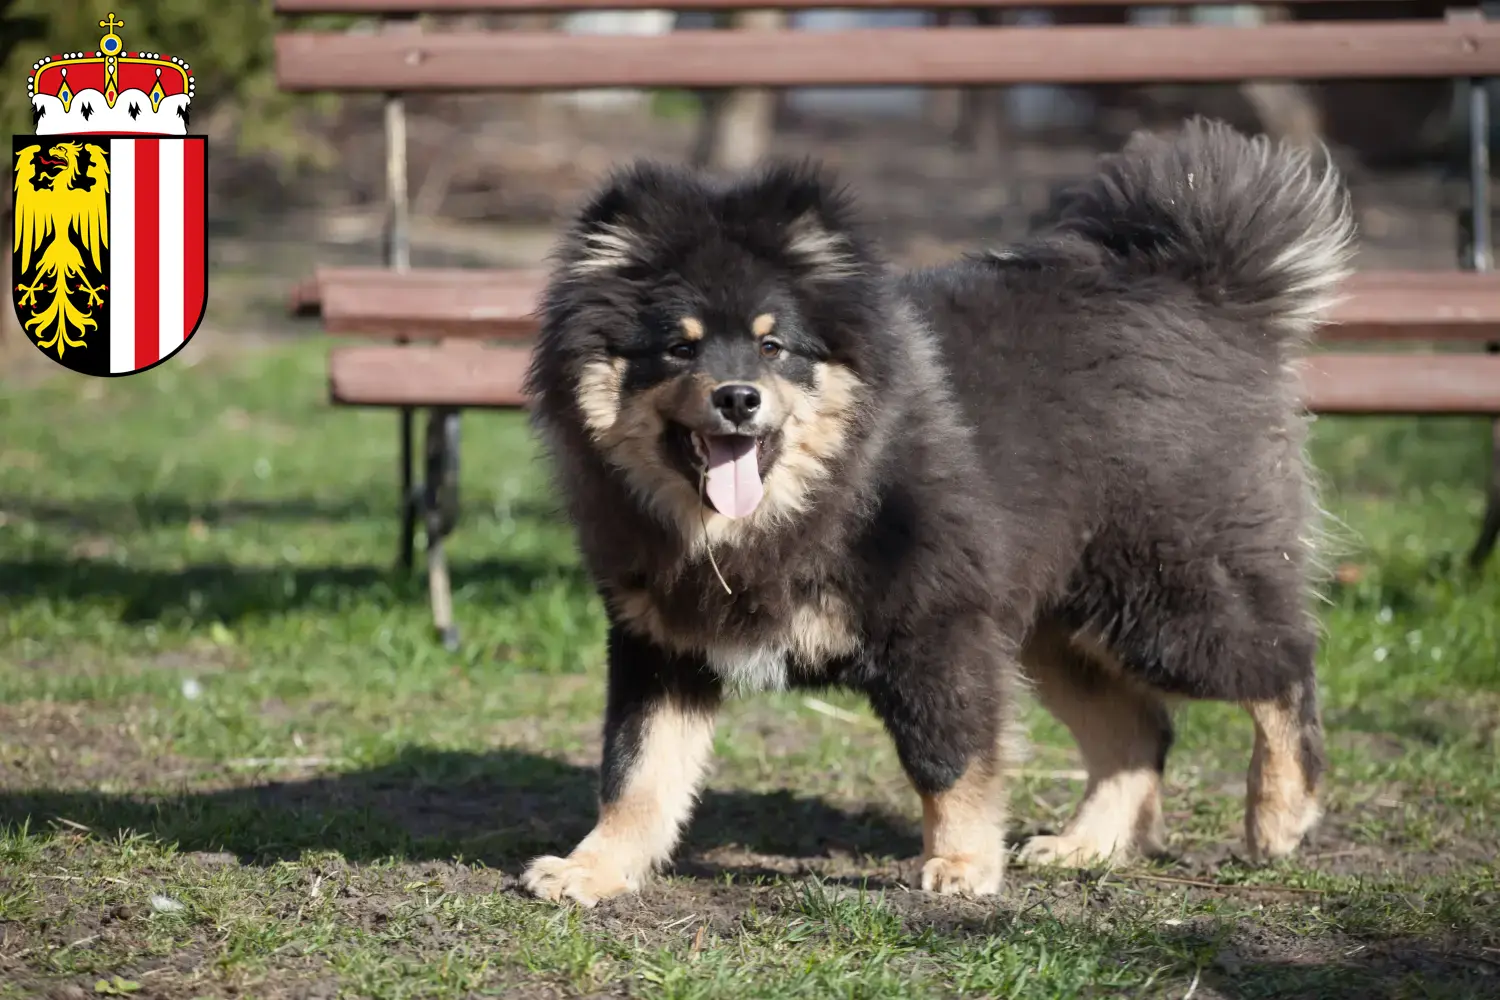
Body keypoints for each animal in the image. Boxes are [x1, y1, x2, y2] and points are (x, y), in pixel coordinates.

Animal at [522, 117, 1356, 905]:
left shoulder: (936, 629)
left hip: (1161, 600)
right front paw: (593, 868)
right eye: (680, 349)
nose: (737, 398)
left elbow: (946, 759)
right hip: (1061, 624)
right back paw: (1086, 846)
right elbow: (636, 771)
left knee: (1283, 667)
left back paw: (1280, 814)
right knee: (1141, 731)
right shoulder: (663, 644)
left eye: (773, 347)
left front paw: (960, 864)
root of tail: (1209, 291)